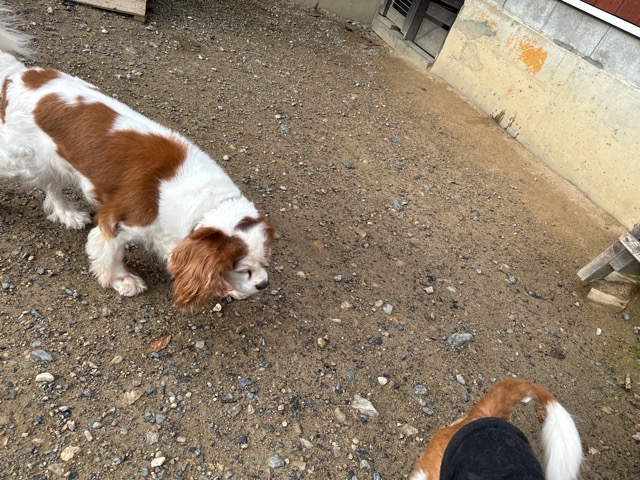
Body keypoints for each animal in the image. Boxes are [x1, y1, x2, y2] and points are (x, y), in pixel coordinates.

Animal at [0, 5, 274, 308]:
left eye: (264, 262)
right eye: (243, 269)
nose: (263, 284)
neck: (204, 203)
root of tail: (17, 75)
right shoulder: (116, 224)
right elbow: (111, 255)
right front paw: (123, 280)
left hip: (47, 159)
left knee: (51, 185)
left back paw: (67, 213)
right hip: (18, 159)